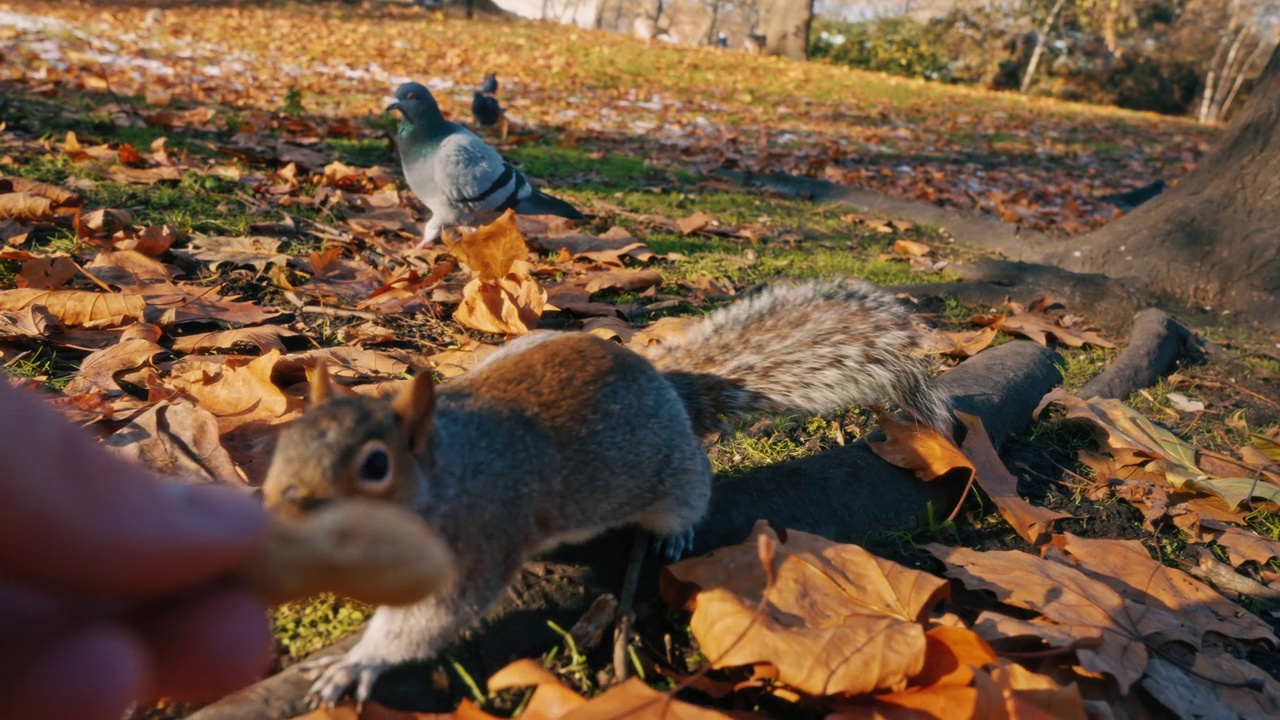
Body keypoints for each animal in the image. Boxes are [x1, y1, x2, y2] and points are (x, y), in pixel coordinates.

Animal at [262, 278, 952, 702]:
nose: (280, 515)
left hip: (673, 479)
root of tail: (666, 386)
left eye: (376, 466)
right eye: (287, 440)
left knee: (688, 497)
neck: (446, 468)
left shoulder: (478, 537)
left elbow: (428, 620)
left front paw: (358, 661)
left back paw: (674, 532)